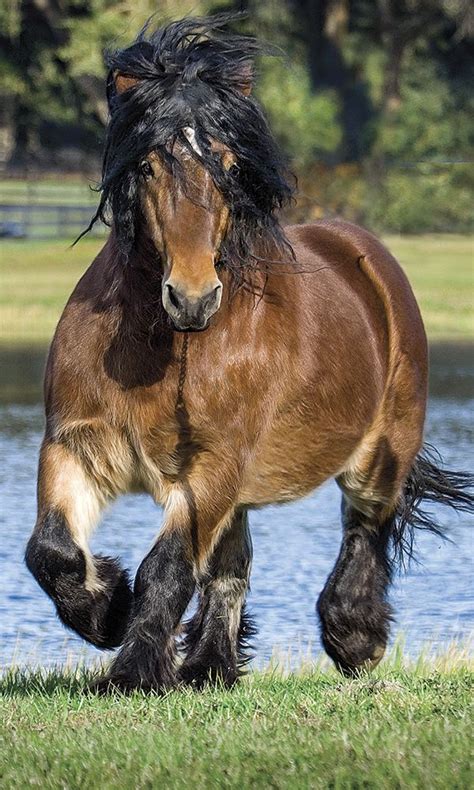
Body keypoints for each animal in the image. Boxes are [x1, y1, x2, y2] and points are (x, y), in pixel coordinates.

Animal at [24, 12, 472, 692]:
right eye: (148, 165)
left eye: (229, 164)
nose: (192, 296)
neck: (159, 347)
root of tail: (365, 254)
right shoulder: (75, 444)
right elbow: (50, 551)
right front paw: (107, 612)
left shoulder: (213, 467)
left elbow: (166, 570)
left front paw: (133, 669)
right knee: (233, 566)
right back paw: (210, 664)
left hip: (378, 451)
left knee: (365, 526)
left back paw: (354, 637)